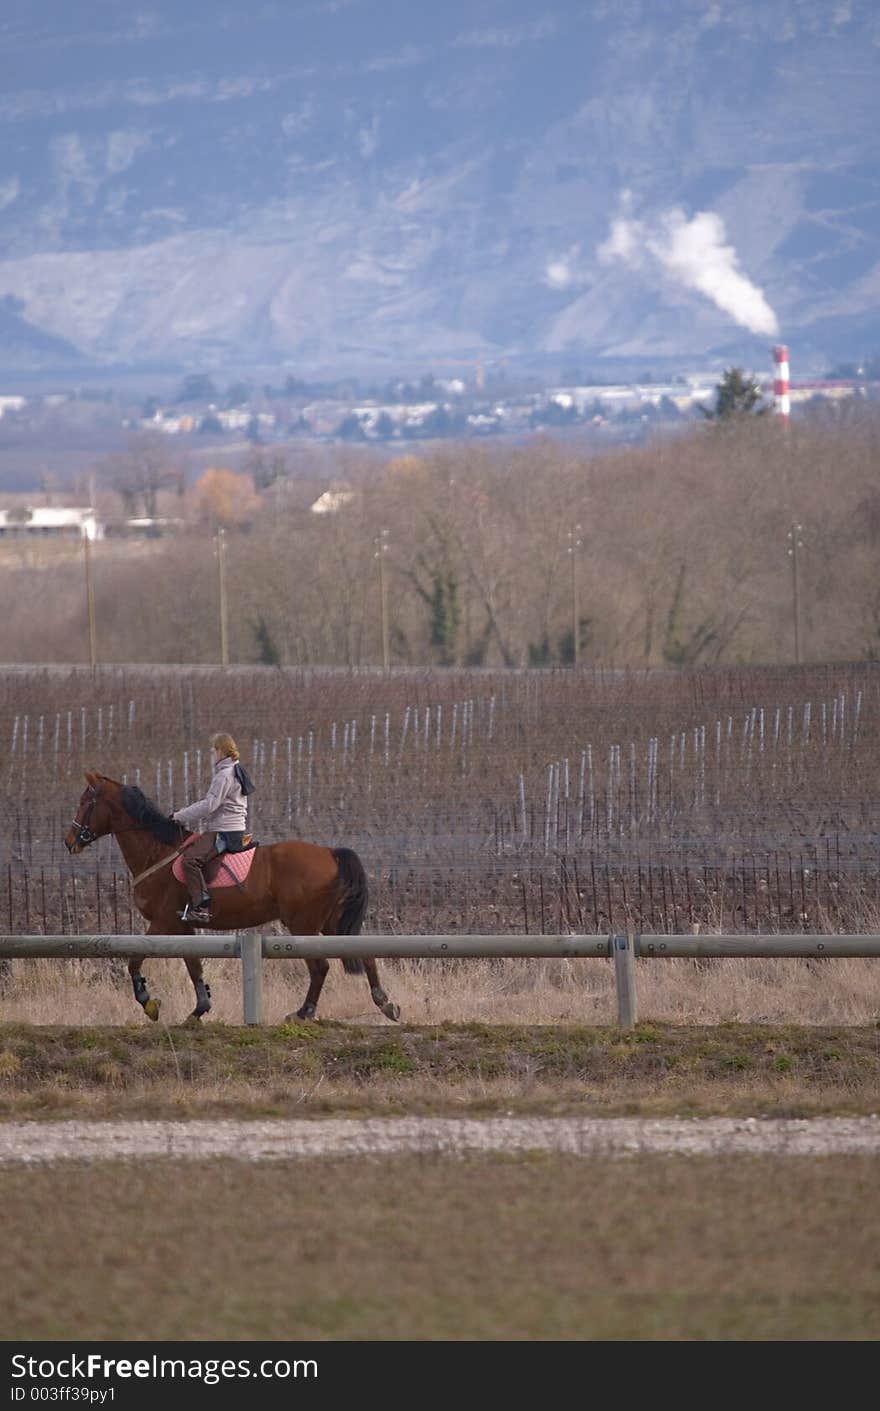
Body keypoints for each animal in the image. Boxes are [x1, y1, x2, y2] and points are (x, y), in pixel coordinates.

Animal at [63, 773, 400, 1027]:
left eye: (84, 803)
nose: (69, 842)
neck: (156, 852)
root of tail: (330, 853)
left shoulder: (163, 921)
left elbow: (135, 959)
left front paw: (149, 1004)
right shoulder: (182, 925)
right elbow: (193, 966)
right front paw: (199, 1009)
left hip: (303, 924)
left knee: (319, 968)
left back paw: (303, 1013)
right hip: (329, 924)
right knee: (363, 954)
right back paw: (385, 1004)